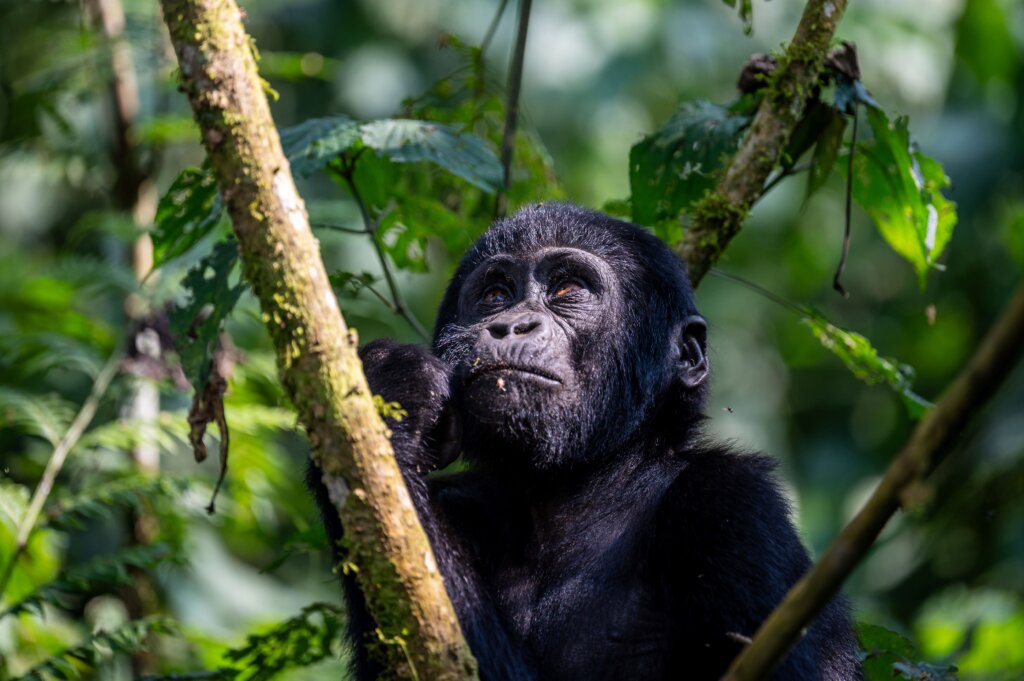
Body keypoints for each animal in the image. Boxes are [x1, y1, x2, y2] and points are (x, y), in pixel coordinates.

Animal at [307, 202, 860, 679]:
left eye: (568, 289)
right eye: (496, 294)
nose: (511, 324)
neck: (577, 490)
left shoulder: (734, 506)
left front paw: (394, 388)